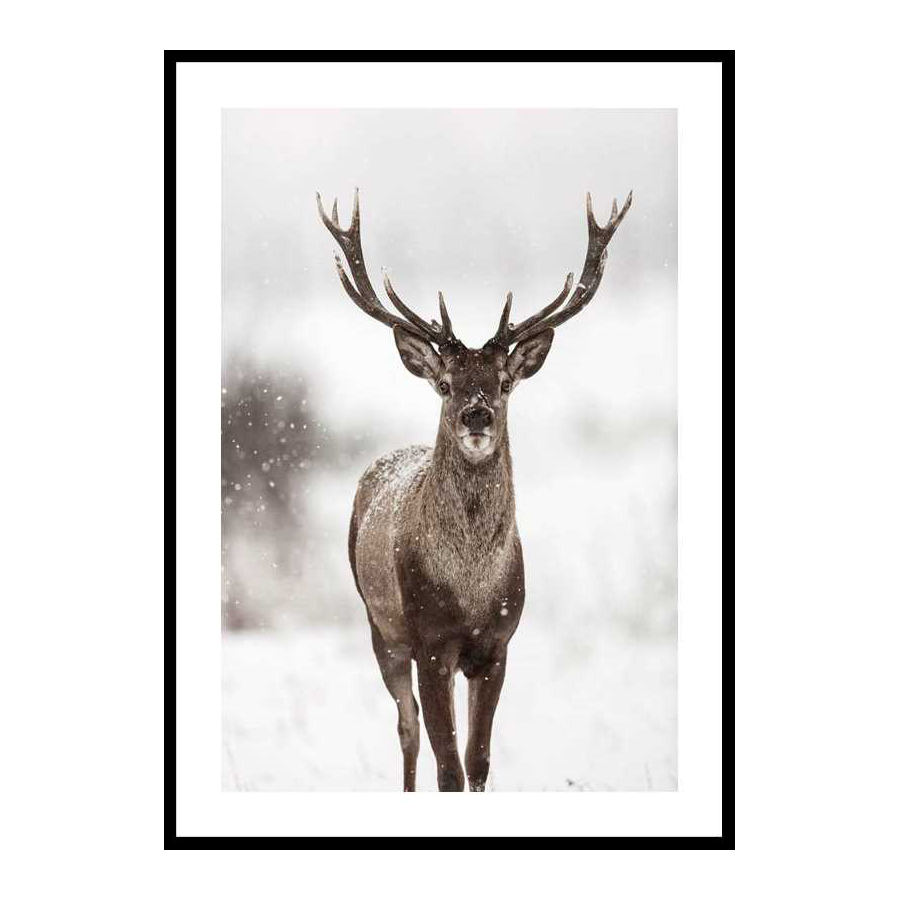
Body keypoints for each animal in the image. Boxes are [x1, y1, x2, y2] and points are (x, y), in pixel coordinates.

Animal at [317, 188, 632, 791]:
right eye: (445, 384)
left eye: (504, 382)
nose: (477, 414)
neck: (470, 588)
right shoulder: (430, 642)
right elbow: (448, 767)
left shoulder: (498, 644)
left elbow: (478, 760)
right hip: (379, 625)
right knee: (406, 728)